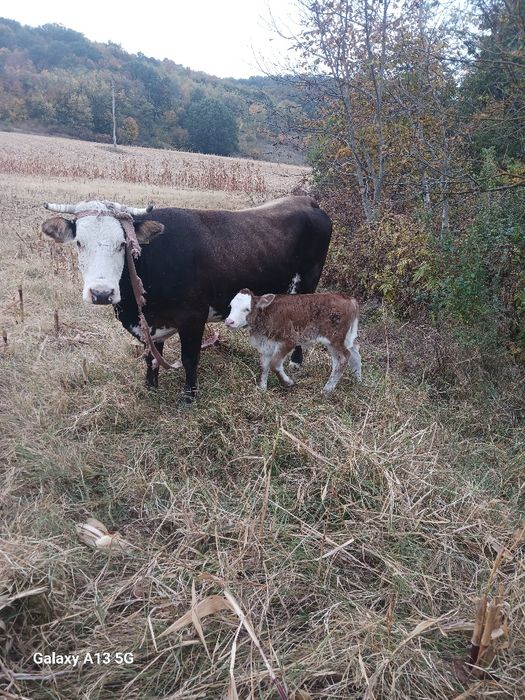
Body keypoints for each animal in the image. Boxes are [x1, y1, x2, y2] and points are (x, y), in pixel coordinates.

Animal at [41, 196, 332, 402]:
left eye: (122, 244)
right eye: (79, 243)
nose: (101, 293)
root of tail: (307, 200)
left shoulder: (193, 316)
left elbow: (190, 358)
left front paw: (189, 397)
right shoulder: (150, 322)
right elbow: (152, 356)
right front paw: (150, 387)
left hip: (308, 282)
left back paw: (296, 361)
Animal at [225, 289, 361, 394]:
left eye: (247, 309)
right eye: (231, 306)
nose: (229, 321)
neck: (266, 314)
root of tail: (348, 299)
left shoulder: (289, 339)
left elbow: (274, 364)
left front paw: (288, 382)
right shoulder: (266, 345)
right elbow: (264, 366)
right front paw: (262, 388)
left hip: (334, 337)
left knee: (343, 357)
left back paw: (327, 390)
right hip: (346, 337)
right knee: (354, 353)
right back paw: (358, 382)